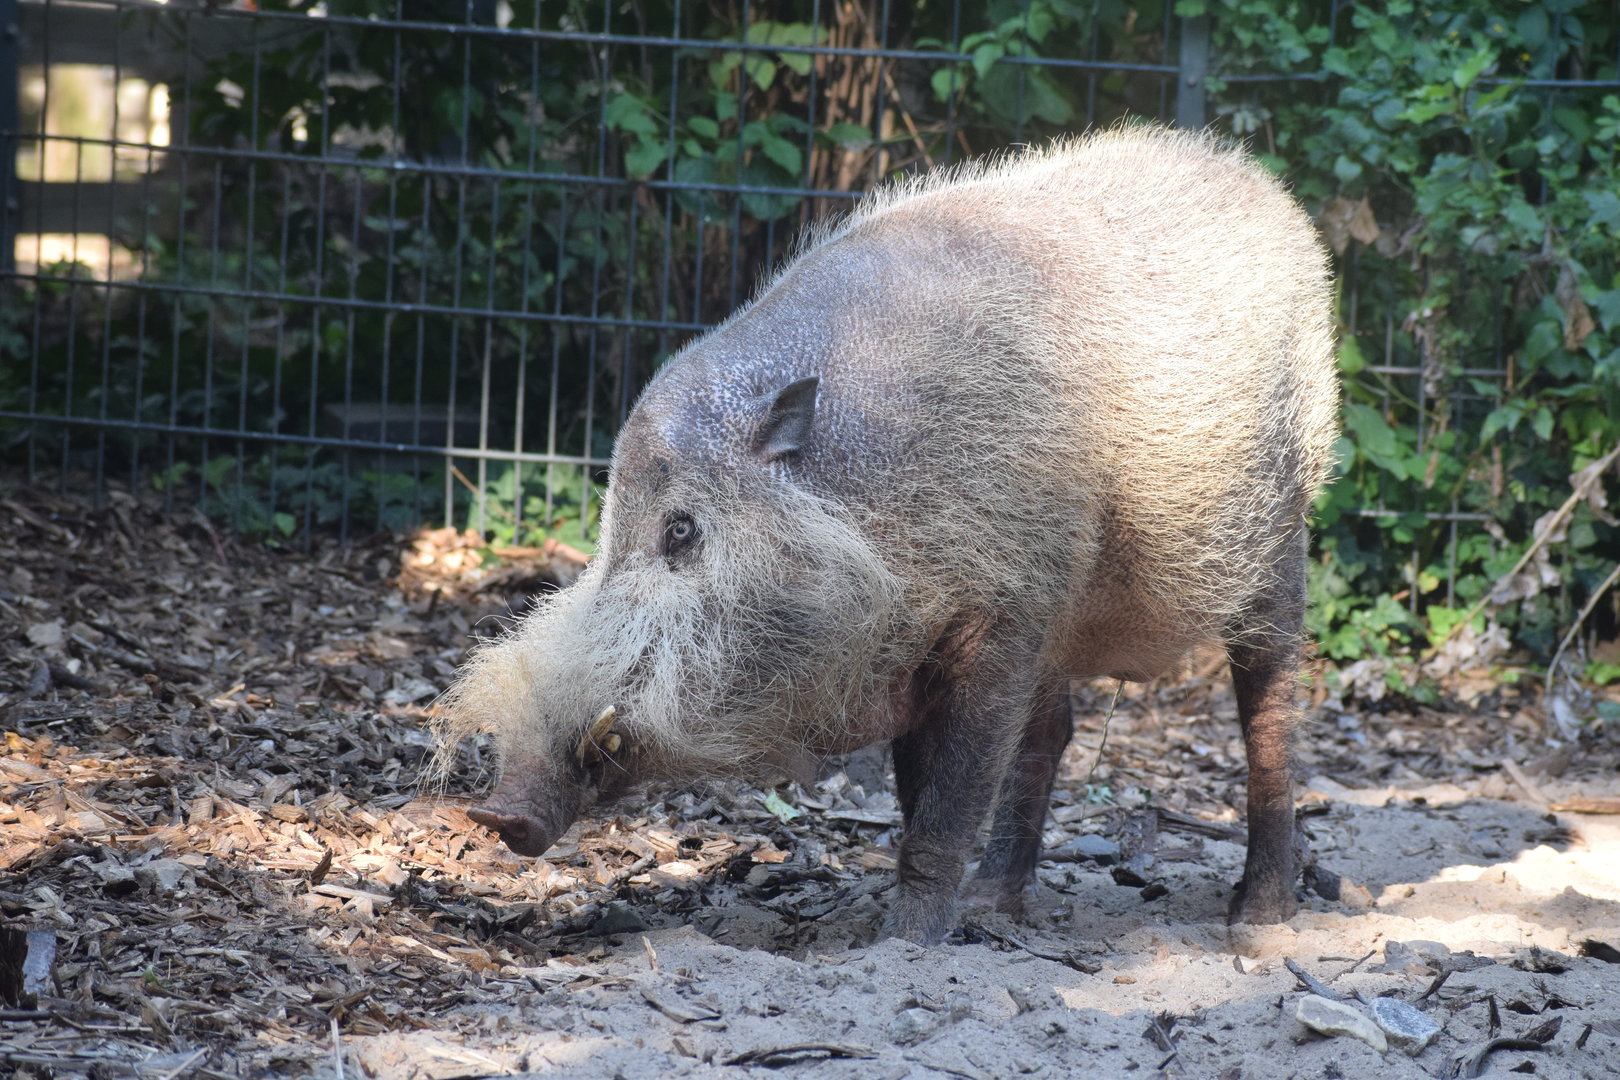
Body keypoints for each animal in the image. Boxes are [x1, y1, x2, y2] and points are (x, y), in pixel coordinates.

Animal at [437, 125, 1339, 944]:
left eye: (682, 531)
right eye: (607, 527)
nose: (498, 813)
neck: (869, 504)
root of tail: (1260, 184)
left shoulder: (998, 618)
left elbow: (952, 796)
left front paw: (905, 945)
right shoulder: (953, 635)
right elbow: (921, 795)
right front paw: (919, 928)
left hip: (1279, 538)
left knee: (1269, 712)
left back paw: (1258, 922)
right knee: (1054, 733)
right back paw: (994, 908)